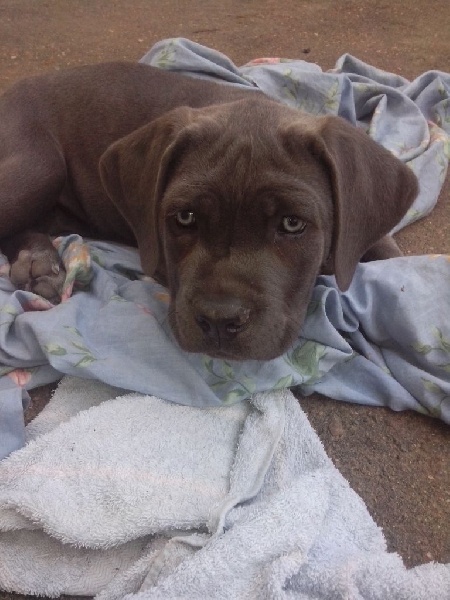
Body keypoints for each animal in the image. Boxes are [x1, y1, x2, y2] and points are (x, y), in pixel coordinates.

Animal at [0, 62, 418, 360]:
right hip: (41, 163)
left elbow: (386, 249)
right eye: (185, 217)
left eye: (292, 223)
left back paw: (39, 264)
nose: (220, 320)